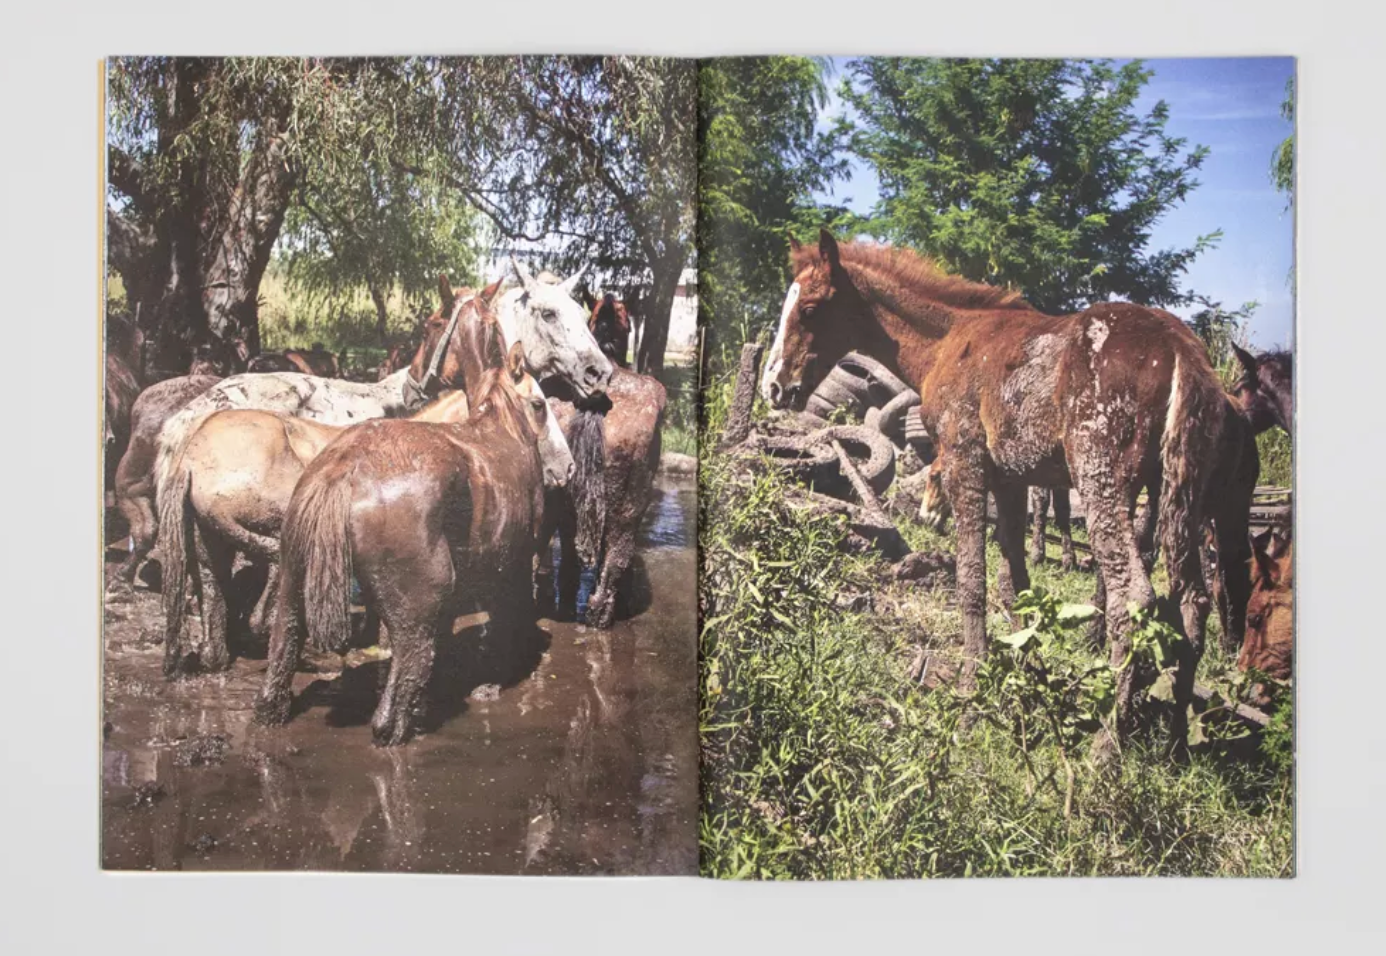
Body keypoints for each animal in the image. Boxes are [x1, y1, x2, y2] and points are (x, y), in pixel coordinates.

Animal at [252, 342, 571, 742]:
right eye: (540, 404)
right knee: (403, 681)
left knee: (281, 652)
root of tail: (342, 467)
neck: (504, 428)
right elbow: (507, 618)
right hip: (421, 599)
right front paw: (496, 679)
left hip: (293, 581)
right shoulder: (513, 560)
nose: (567, 468)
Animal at [765, 231, 1241, 753]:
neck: (946, 341)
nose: (774, 386)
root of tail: (1182, 352)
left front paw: (971, 693)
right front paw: (1026, 679)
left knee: (1133, 598)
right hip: (1179, 496)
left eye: (810, 308)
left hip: (1103, 482)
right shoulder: (1012, 479)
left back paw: (1107, 746)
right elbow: (1017, 586)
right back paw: (1176, 736)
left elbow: (972, 581)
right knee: (1192, 601)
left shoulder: (965, 462)